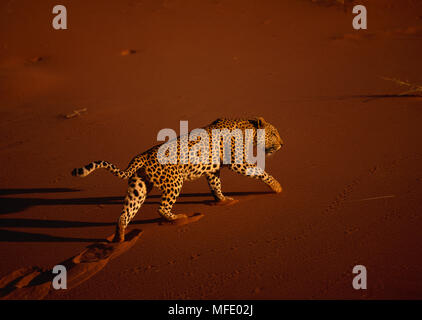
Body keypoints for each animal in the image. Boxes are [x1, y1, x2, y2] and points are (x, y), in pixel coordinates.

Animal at [71, 116, 284, 241]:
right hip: (174, 183)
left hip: (139, 187)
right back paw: (180, 218)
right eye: (274, 133)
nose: (282, 144)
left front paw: (223, 200)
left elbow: (216, 185)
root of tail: (142, 156)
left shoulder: (212, 170)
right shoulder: (238, 162)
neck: (249, 129)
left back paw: (120, 238)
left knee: (125, 213)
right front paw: (278, 187)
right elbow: (260, 172)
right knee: (162, 208)